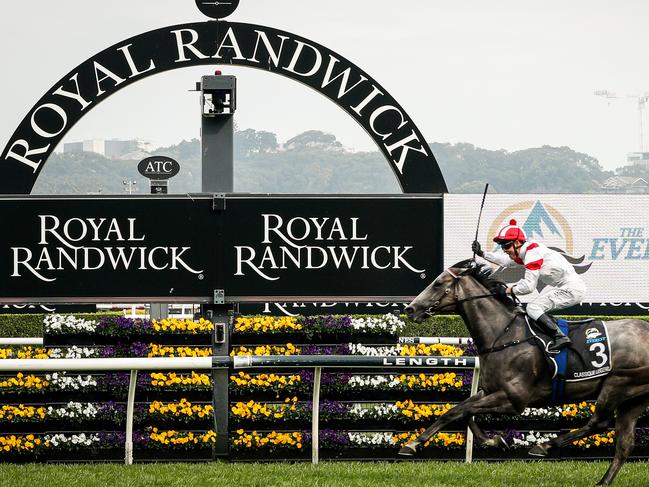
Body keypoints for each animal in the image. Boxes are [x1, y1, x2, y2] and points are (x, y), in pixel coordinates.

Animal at [398, 260, 648, 484]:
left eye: (438, 283)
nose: (410, 309)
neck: (505, 335)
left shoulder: (515, 399)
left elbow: (461, 410)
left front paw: (413, 445)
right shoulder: (489, 390)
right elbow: (459, 411)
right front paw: (493, 441)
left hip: (618, 384)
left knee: (599, 423)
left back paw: (544, 446)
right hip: (633, 399)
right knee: (624, 444)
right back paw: (602, 481)